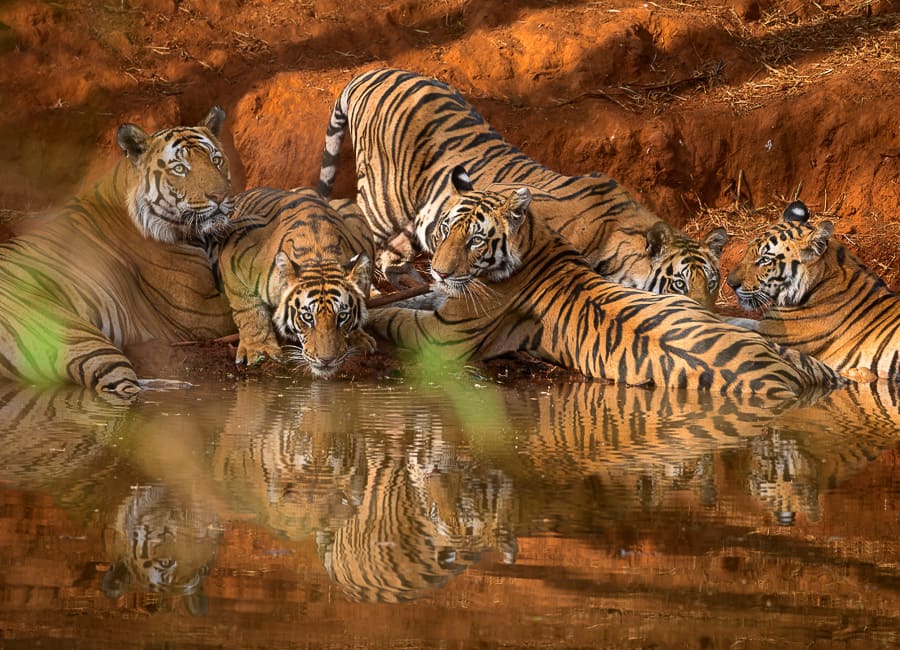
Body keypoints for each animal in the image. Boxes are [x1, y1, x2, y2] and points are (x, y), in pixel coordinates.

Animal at [215, 187, 375, 377]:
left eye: (343, 316)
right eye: (307, 317)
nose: (327, 360)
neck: (318, 252)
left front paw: (357, 335)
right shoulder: (233, 253)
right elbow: (247, 309)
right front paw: (260, 349)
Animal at [318, 67, 727, 308]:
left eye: (712, 283)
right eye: (678, 284)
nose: (707, 315)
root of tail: (374, 73)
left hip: (410, 220)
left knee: (393, 257)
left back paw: (418, 282)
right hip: (383, 200)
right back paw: (369, 292)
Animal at [367, 168, 845, 399]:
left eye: (476, 239)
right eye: (447, 229)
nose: (439, 270)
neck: (535, 240)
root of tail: (781, 376)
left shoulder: (443, 334)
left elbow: (394, 316)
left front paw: (368, 320)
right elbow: (416, 300)